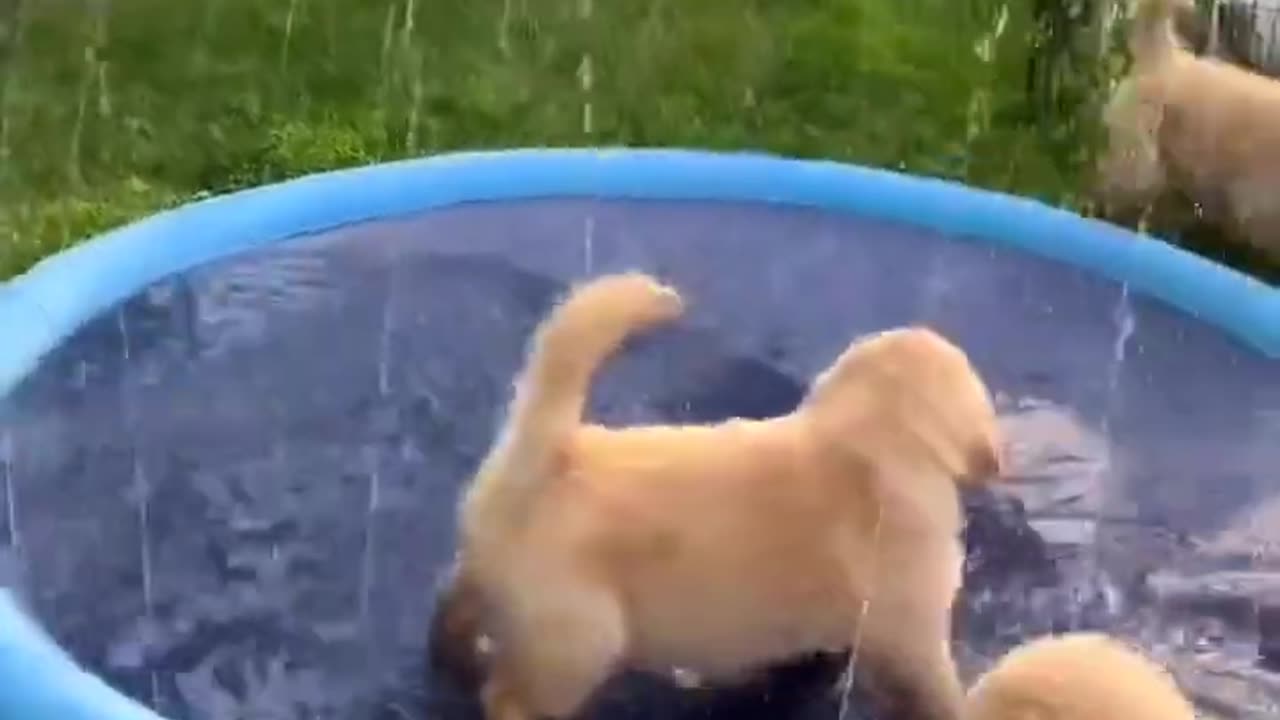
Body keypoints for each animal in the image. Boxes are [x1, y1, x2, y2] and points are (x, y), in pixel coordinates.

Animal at [432, 270, 1008, 717]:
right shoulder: (913, 637)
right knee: (510, 700)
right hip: (580, 641)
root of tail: (548, 456)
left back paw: (453, 657)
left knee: (454, 611)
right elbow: (938, 694)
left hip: (489, 577)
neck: (867, 446)